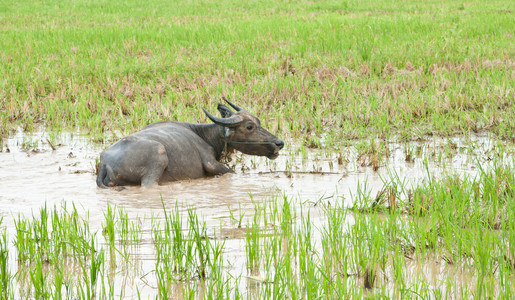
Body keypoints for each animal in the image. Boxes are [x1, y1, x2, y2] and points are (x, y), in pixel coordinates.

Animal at [94, 99, 284, 188]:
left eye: (258, 121)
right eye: (250, 126)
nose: (279, 143)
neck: (206, 135)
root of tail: (104, 162)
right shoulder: (211, 164)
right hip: (158, 155)